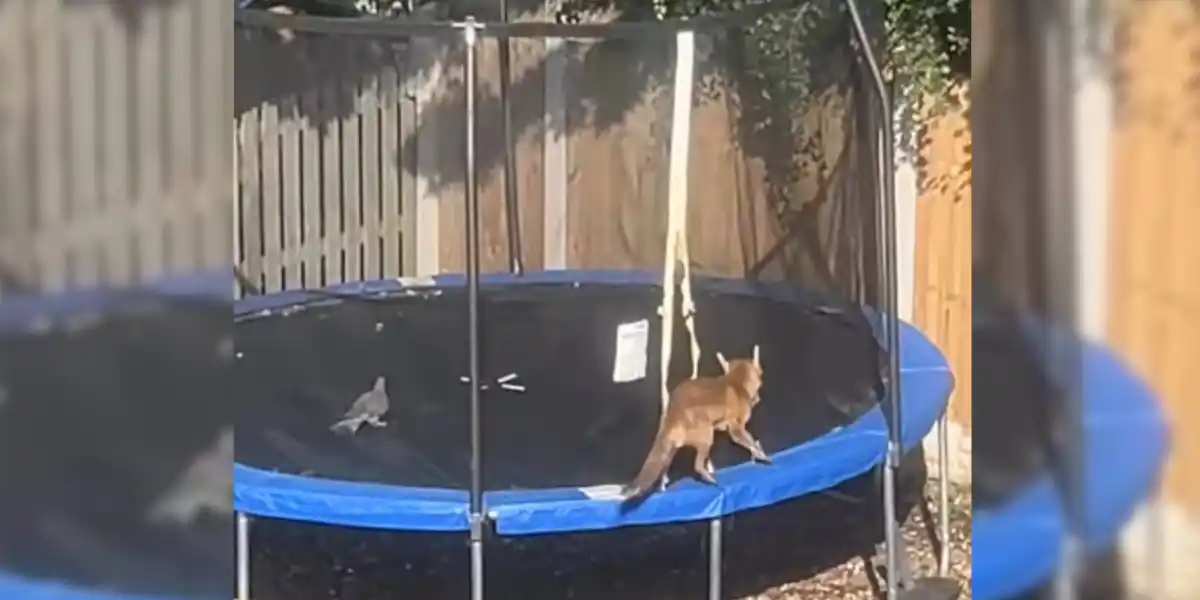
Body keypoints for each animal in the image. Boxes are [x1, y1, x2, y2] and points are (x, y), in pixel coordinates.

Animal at [620, 345, 772, 500]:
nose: (758, 399)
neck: (734, 382)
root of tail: (674, 414)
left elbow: (751, 444)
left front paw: (757, 453)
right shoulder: (736, 427)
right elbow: (750, 442)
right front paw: (762, 455)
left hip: (670, 452)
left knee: (663, 471)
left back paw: (662, 488)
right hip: (707, 437)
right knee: (697, 466)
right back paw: (709, 478)